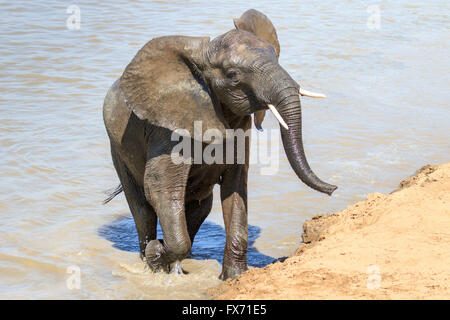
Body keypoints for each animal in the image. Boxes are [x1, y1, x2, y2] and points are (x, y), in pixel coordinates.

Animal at [102, 9, 334, 280]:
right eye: (233, 75)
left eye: (275, 56)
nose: (333, 189)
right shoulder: (166, 128)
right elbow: (159, 186)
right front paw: (156, 255)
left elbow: (236, 187)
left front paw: (234, 277)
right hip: (117, 149)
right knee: (142, 207)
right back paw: (148, 256)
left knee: (198, 207)